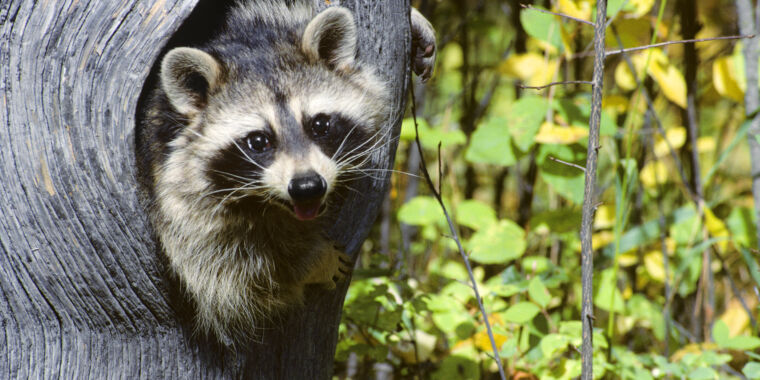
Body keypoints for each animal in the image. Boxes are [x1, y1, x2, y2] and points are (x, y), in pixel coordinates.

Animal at [136, 0, 434, 344]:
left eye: (320, 124)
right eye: (258, 141)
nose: (307, 186)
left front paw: (415, 19)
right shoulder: (171, 186)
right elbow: (227, 277)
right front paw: (308, 262)